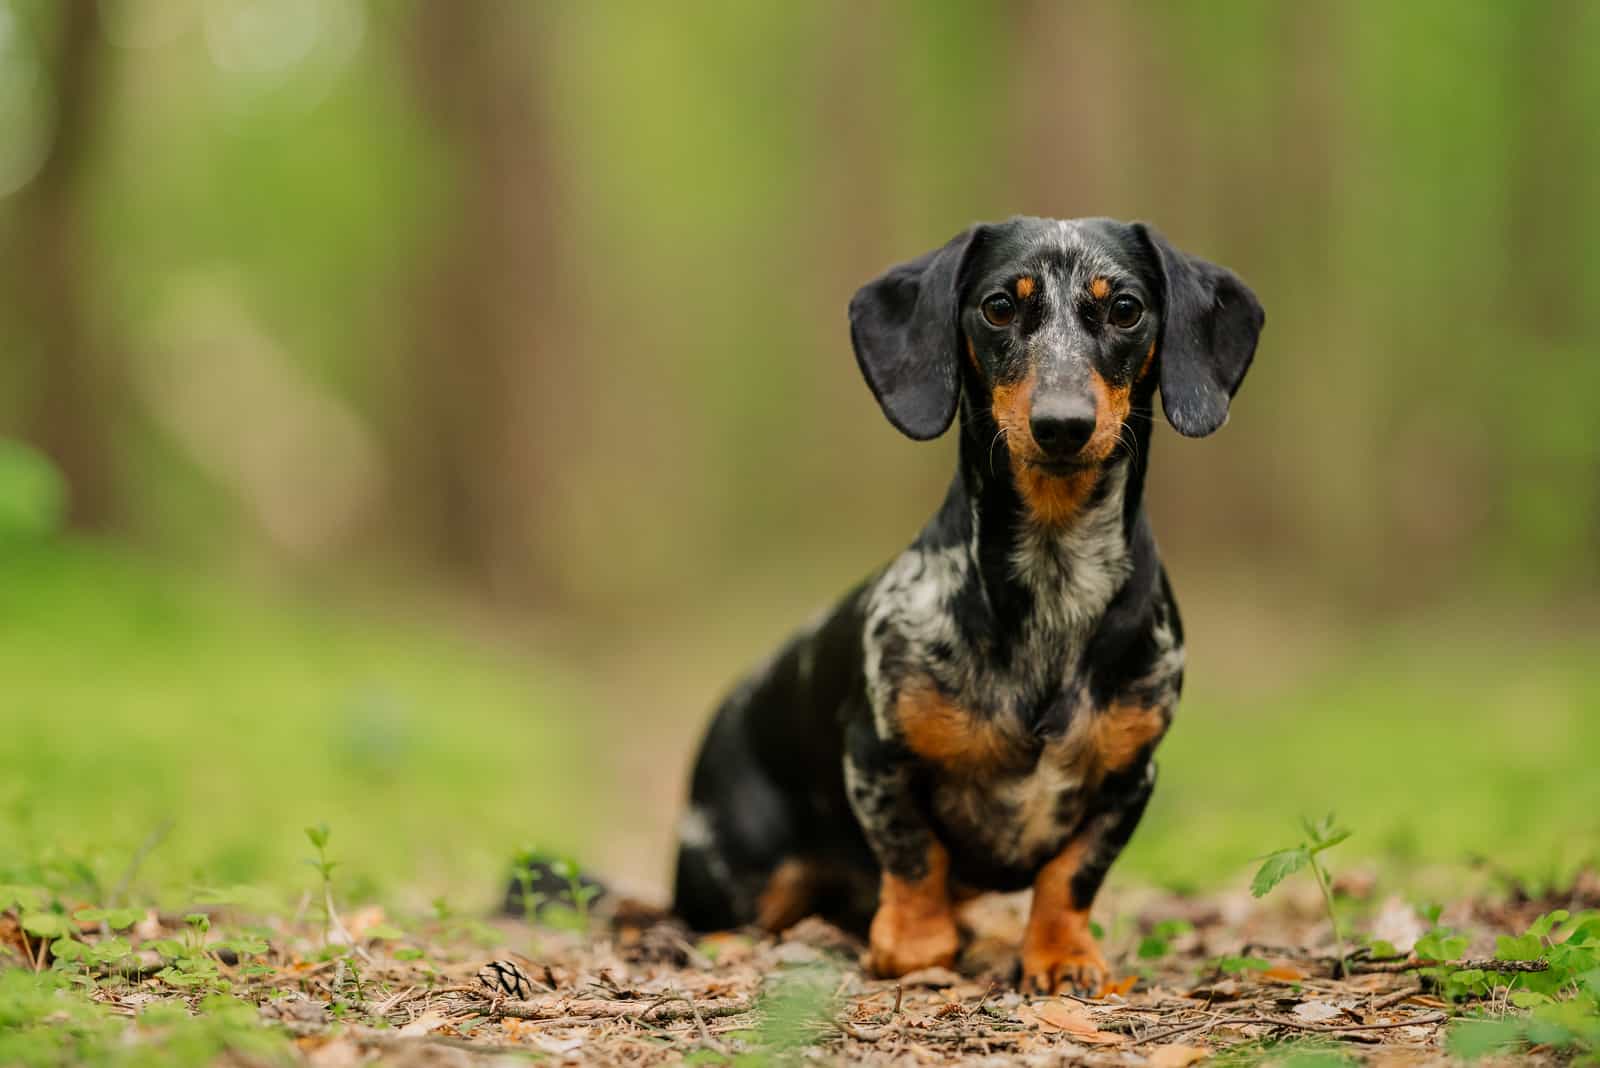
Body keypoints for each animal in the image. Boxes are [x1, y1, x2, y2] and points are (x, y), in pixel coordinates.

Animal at [665, 217, 1260, 991]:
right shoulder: (877, 755)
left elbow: (1073, 875)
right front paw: (918, 948)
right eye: (999, 307)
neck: (1054, 578)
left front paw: (1061, 955)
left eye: (1126, 309)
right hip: (733, 872)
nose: (1062, 424)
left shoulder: (1130, 778)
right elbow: (916, 856)